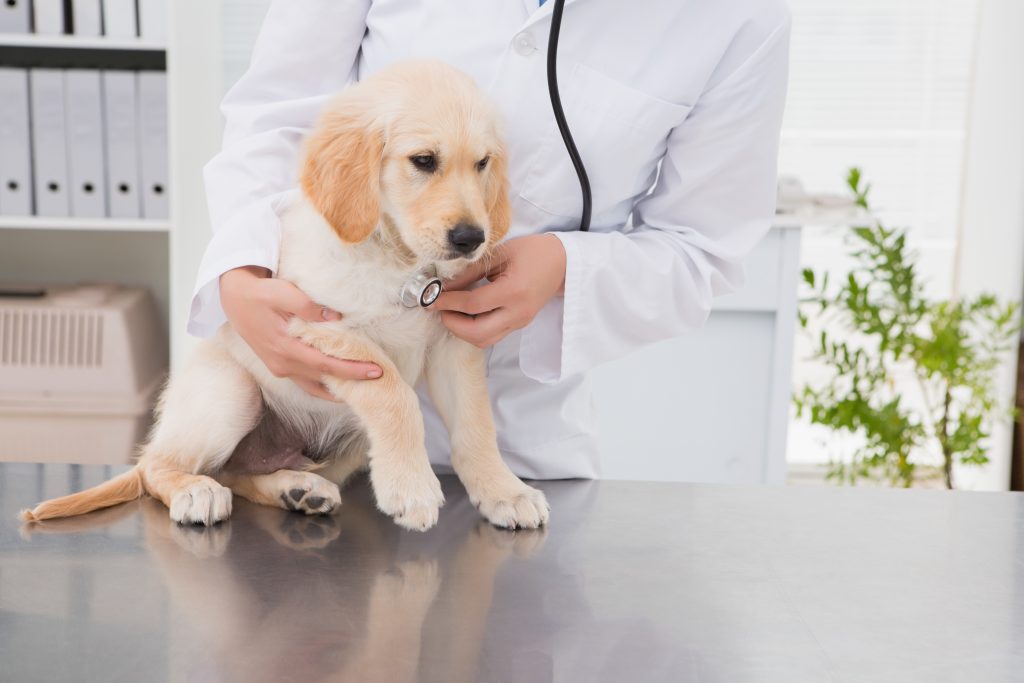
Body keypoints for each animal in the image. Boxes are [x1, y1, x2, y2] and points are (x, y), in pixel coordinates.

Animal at [19, 61, 552, 532]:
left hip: (343, 448)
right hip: (232, 392)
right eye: (423, 161)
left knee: (237, 474)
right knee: (158, 468)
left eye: (482, 163)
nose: (471, 239)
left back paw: (296, 489)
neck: (398, 261)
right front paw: (412, 488)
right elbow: (394, 394)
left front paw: (503, 491)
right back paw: (197, 490)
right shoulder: (315, 324)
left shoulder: (453, 343)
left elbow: (476, 426)